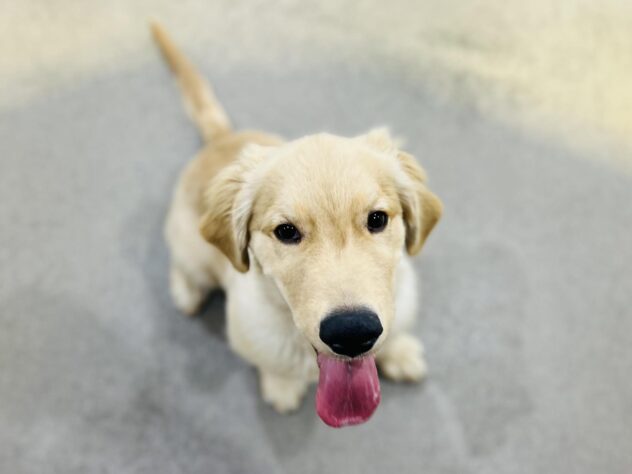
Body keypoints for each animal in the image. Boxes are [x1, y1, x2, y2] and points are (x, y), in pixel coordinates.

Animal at [152, 24, 443, 427]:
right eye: (286, 231)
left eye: (377, 219)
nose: (352, 333)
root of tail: (223, 138)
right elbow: (274, 365)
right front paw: (282, 386)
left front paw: (398, 352)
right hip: (191, 247)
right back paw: (186, 292)